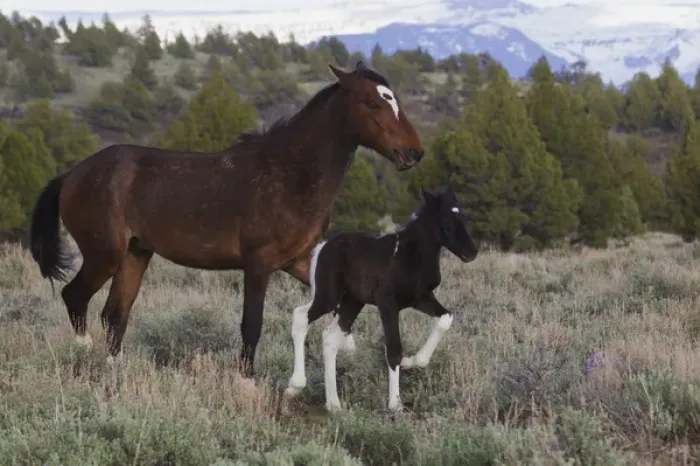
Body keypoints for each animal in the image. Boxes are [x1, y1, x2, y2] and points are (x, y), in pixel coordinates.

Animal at [28, 60, 425, 377]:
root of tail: (71, 175)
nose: (415, 153)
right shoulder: (259, 264)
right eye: (374, 102)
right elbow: (252, 325)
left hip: (135, 255)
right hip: (104, 254)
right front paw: (246, 380)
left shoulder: (298, 260)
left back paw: (115, 371)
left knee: (115, 315)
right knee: (75, 297)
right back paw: (84, 358)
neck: (290, 174)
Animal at [284, 186, 478, 412]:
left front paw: (412, 361)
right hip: (328, 297)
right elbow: (393, 348)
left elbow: (445, 318)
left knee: (330, 337)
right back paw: (295, 386)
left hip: (352, 302)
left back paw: (334, 405)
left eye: (463, 217)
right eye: (445, 219)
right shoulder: (388, 304)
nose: (471, 252)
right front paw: (395, 404)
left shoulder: (421, 298)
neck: (408, 255)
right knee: (301, 316)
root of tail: (322, 247)